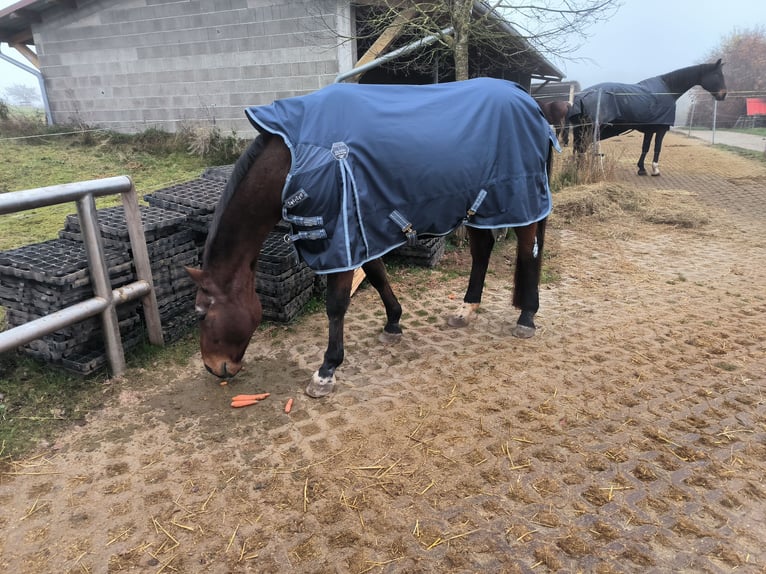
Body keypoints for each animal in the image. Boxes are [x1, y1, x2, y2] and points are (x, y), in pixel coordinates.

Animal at [186, 76, 560, 400]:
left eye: (202, 314)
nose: (215, 368)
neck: (295, 156)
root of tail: (529, 101)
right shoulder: (362, 229)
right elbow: (378, 276)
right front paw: (393, 322)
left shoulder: (341, 238)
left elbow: (337, 305)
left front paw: (327, 370)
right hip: (481, 208)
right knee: (482, 252)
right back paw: (466, 310)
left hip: (520, 201)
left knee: (528, 252)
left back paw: (527, 316)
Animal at [568, 60, 732, 176]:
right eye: (717, 75)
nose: (723, 94)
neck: (667, 90)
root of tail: (583, 96)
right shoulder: (661, 129)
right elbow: (656, 148)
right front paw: (655, 169)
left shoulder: (649, 130)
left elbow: (645, 148)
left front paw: (641, 168)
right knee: (582, 148)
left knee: (578, 149)